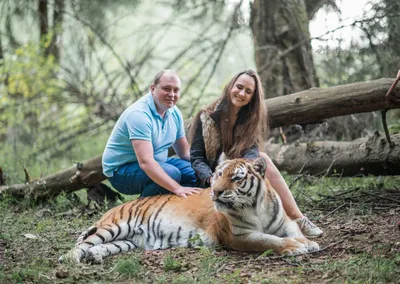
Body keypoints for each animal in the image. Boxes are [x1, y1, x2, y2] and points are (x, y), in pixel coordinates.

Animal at [59, 153, 320, 264]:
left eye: (236, 178)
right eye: (218, 174)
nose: (216, 191)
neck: (257, 207)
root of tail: (112, 209)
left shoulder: (285, 223)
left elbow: (294, 231)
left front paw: (308, 242)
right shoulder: (239, 236)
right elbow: (269, 240)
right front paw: (295, 247)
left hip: (128, 241)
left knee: (101, 247)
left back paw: (95, 256)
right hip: (113, 227)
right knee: (81, 244)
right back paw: (70, 259)